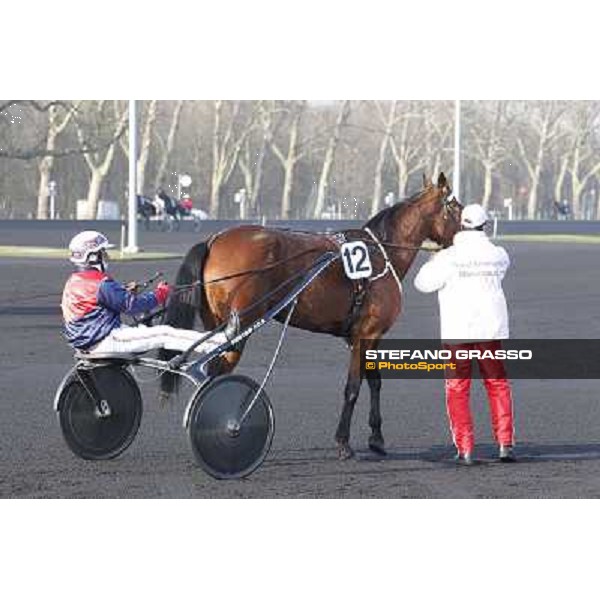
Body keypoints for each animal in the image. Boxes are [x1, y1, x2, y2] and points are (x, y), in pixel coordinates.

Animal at [159, 172, 464, 460]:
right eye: (456, 207)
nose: (469, 233)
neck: (381, 253)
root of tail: (214, 240)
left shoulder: (366, 337)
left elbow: (375, 381)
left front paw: (377, 439)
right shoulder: (366, 334)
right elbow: (353, 387)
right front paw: (343, 443)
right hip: (240, 327)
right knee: (214, 378)